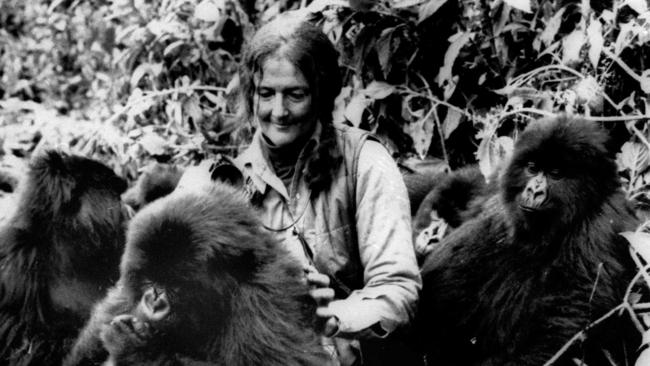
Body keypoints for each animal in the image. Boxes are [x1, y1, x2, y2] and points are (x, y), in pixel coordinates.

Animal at [418, 117, 636, 366]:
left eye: (555, 173)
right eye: (532, 168)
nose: (534, 191)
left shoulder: (602, 226)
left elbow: (569, 317)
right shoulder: (496, 179)